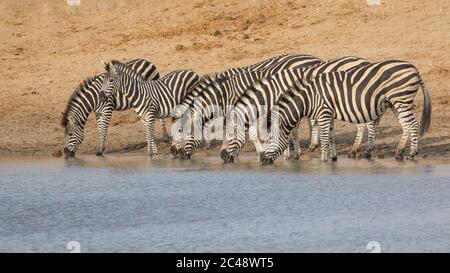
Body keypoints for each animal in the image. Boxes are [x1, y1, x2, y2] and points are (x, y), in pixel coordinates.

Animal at [174, 54, 322, 158]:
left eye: (184, 131)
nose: (178, 153)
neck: (225, 93)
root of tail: (316, 59)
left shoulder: (244, 109)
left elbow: (248, 132)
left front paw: (259, 151)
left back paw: (310, 145)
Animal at [221, 55, 372, 162]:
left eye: (231, 132)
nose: (222, 156)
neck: (274, 91)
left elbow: (289, 131)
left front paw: (290, 154)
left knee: (366, 123)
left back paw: (362, 150)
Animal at [260, 59, 432, 164]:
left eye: (269, 140)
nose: (261, 161)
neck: (310, 97)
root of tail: (414, 69)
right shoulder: (328, 114)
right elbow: (330, 136)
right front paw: (333, 158)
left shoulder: (323, 113)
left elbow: (324, 139)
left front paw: (323, 161)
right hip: (395, 103)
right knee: (406, 125)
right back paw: (399, 152)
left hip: (401, 99)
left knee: (413, 125)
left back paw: (412, 153)